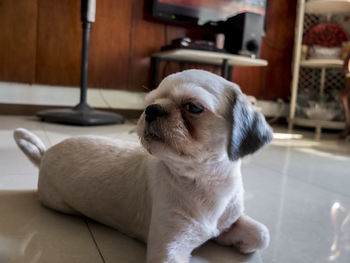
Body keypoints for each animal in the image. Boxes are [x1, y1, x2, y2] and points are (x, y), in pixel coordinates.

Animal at [15, 70, 274, 263]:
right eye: (149, 103)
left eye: (193, 107)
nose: (151, 110)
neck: (203, 181)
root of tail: (44, 155)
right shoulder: (168, 248)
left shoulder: (231, 219)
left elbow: (262, 234)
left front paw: (234, 240)